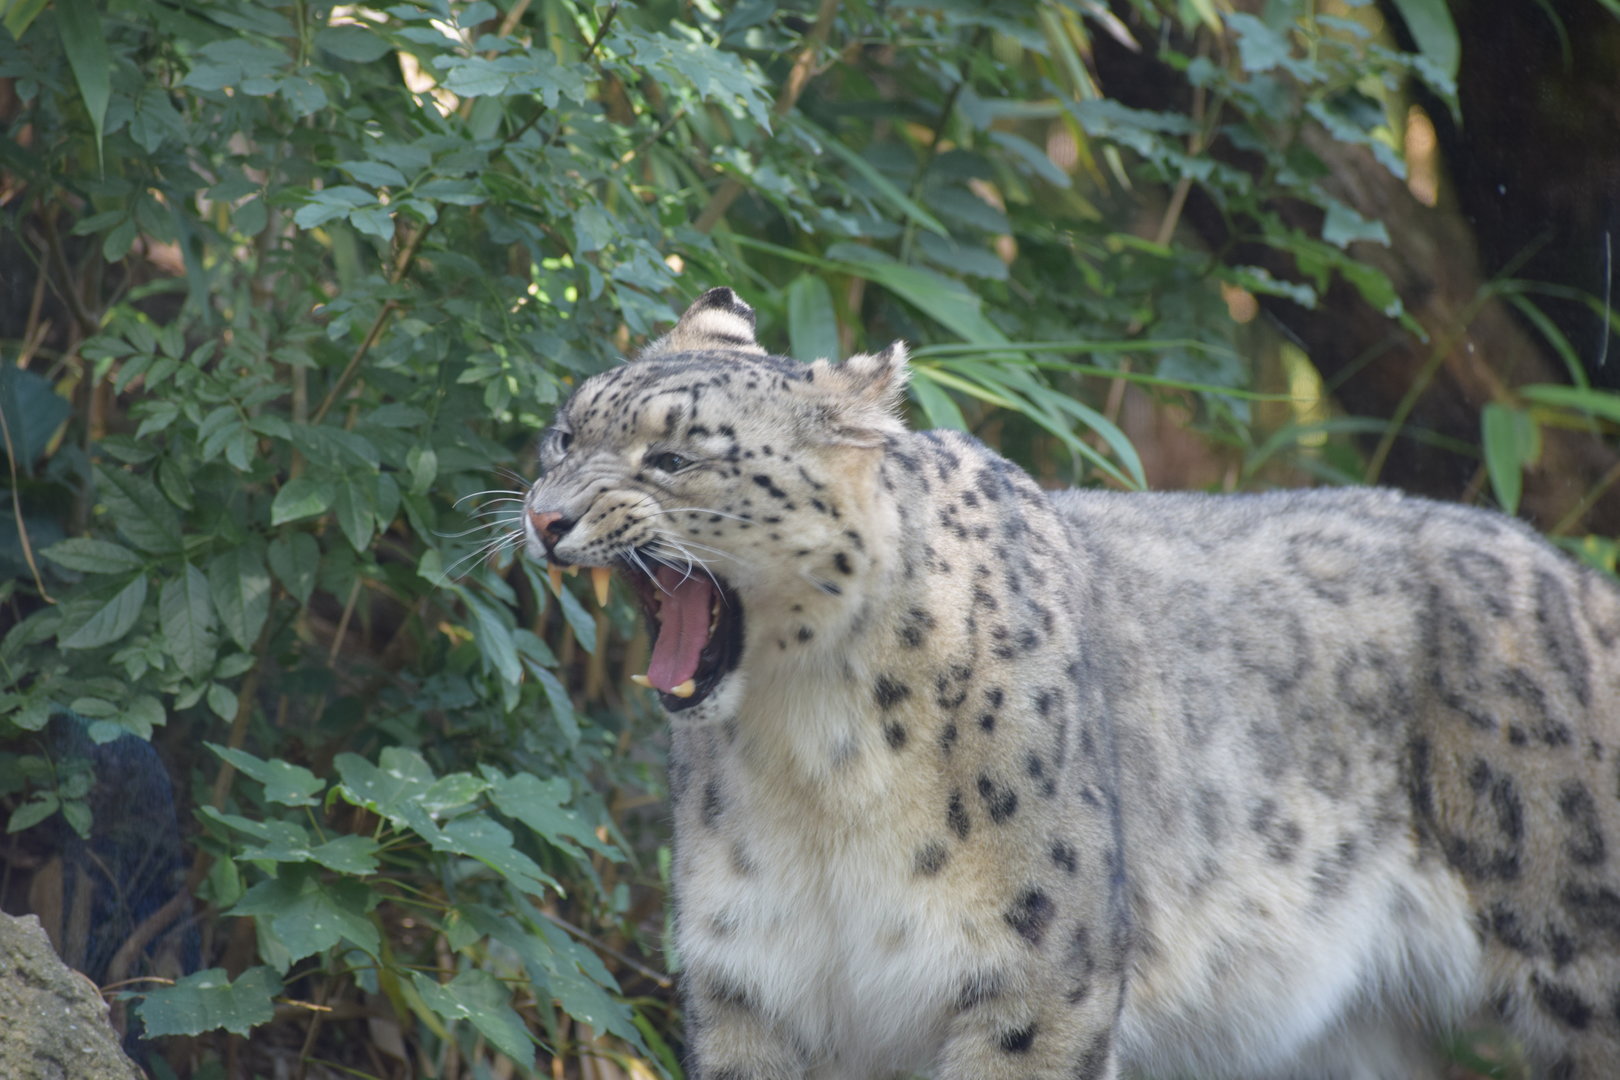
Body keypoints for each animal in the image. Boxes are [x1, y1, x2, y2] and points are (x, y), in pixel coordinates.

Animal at [522, 286, 1620, 1080]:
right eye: (565, 434)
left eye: (673, 457)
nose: (542, 517)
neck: (809, 759)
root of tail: (1579, 580)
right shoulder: (752, 980)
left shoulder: (1035, 978)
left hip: (1578, 953)